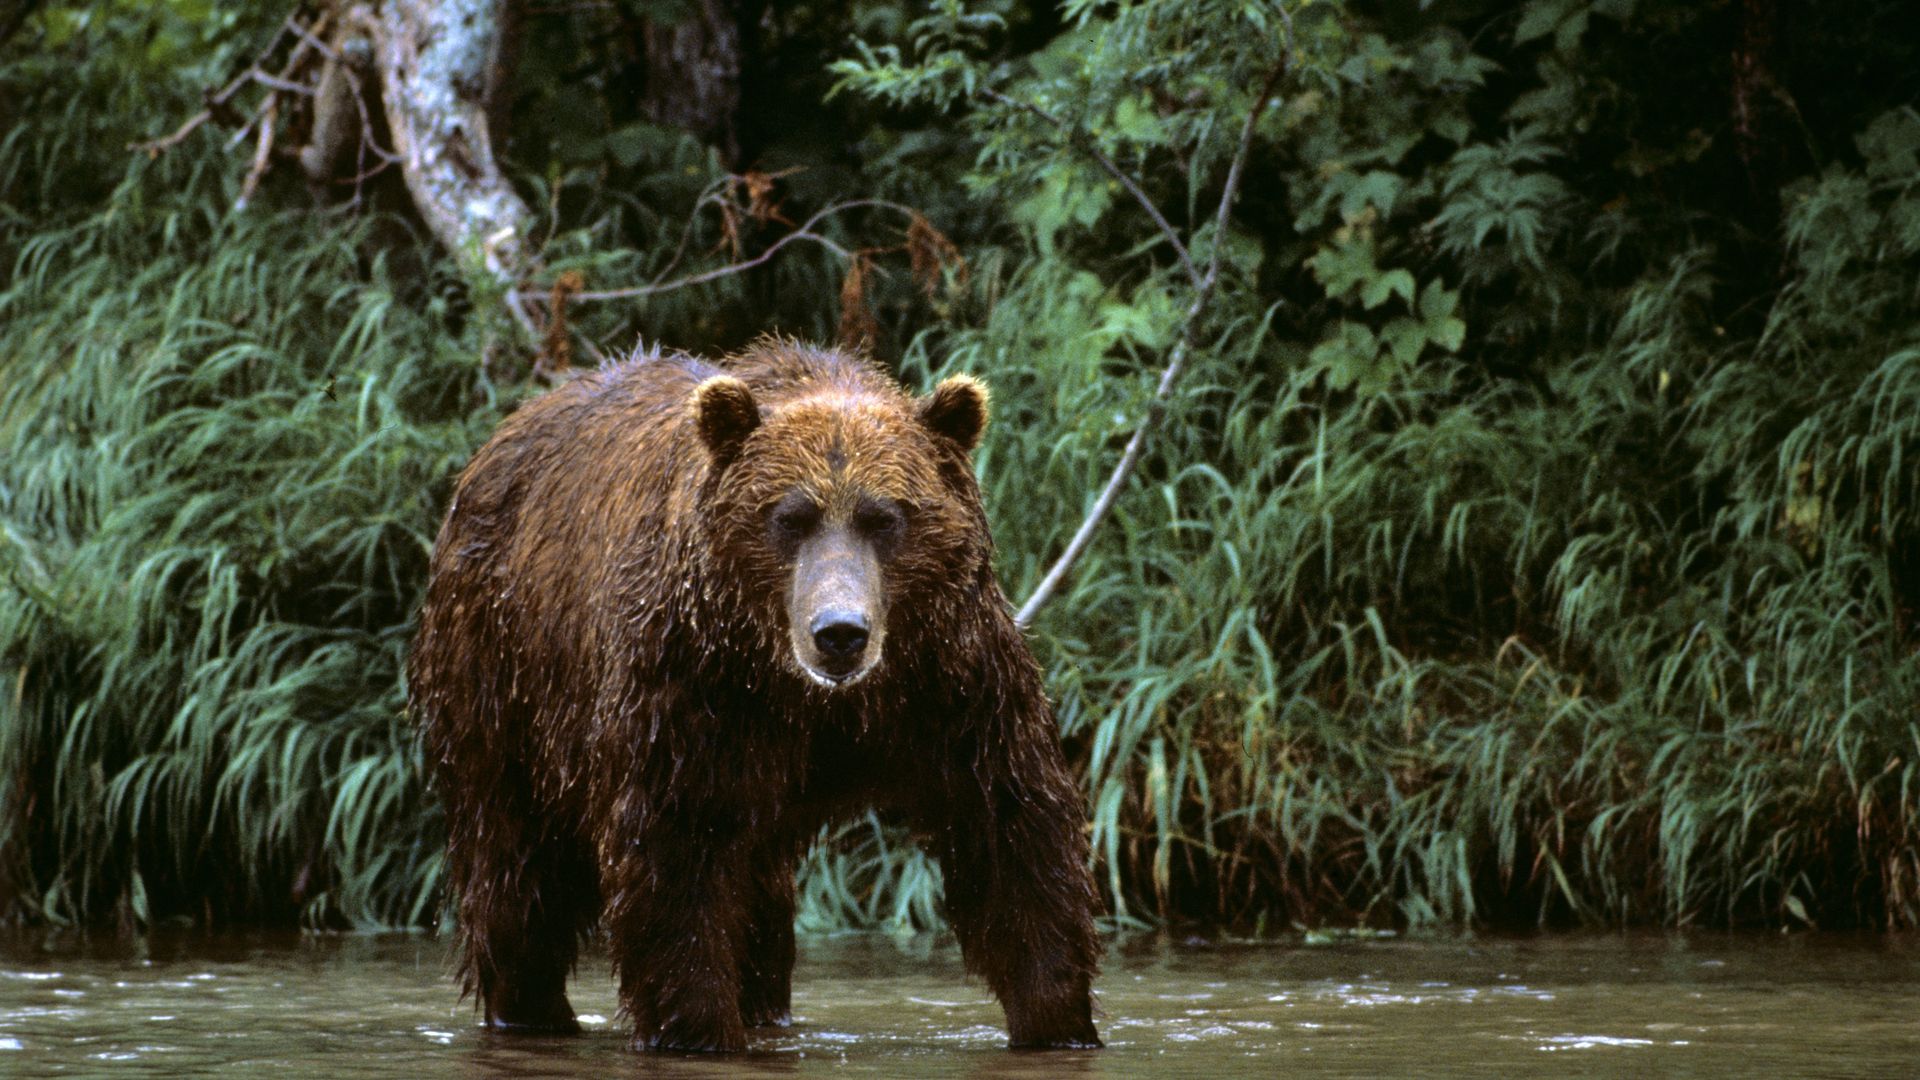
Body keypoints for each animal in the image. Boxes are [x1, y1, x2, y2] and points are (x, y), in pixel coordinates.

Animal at [408, 338, 1102, 1052]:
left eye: (884, 518)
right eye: (790, 517)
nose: (840, 633)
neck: (811, 697)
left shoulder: (949, 679)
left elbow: (1010, 832)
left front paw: (1058, 1018)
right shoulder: (692, 686)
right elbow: (676, 856)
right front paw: (697, 1027)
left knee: (758, 898)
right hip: (504, 677)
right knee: (516, 866)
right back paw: (531, 1007)